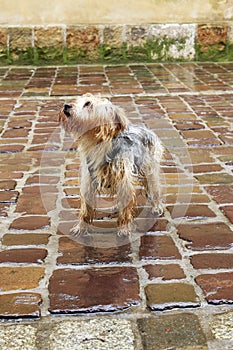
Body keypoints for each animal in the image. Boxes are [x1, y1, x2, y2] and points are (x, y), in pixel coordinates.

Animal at [59, 93, 163, 237]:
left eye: (88, 103)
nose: (66, 105)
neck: (99, 143)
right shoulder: (89, 181)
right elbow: (86, 208)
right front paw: (81, 227)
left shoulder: (124, 181)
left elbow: (125, 207)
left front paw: (124, 229)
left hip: (150, 170)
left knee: (155, 189)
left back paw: (157, 206)